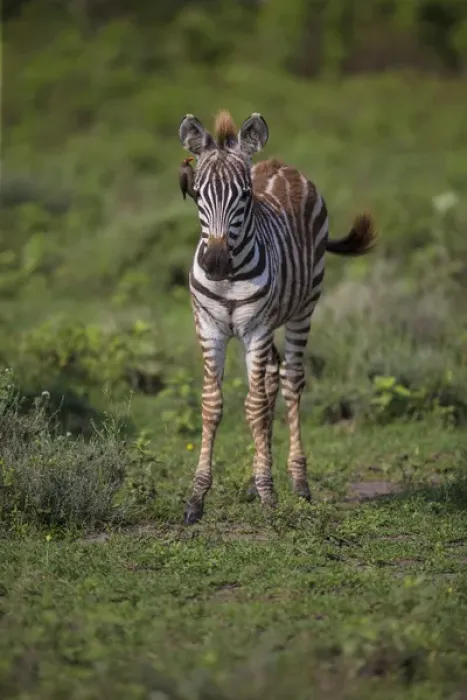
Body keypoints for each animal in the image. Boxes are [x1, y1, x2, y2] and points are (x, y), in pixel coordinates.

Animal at [178, 110, 376, 525]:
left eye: (244, 196)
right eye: (198, 194)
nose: (215, 263)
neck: (229, 277)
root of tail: (281, 164)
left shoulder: (256, 328)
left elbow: (253, 406)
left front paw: (269, 495)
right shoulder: (210, 328)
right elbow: (212, 405)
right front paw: (197, 498)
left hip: (302, 309)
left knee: (289, 381)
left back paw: (298, 484)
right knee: (269, 381)